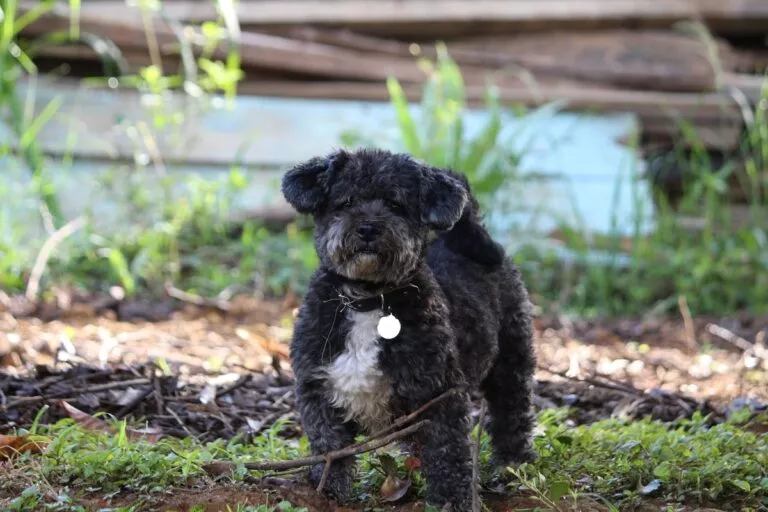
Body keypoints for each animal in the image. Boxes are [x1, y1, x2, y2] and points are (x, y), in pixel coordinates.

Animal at [280, 147, 536, 508]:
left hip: (511, 362)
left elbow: (447, 451)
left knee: (513, 414)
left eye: (396, 205)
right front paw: (326, 492)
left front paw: (451, 499)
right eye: (345, 202)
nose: (368, 228)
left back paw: (514, 464)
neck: (369, 300)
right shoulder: (318, 389)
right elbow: (329, 448)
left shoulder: (439, 394)